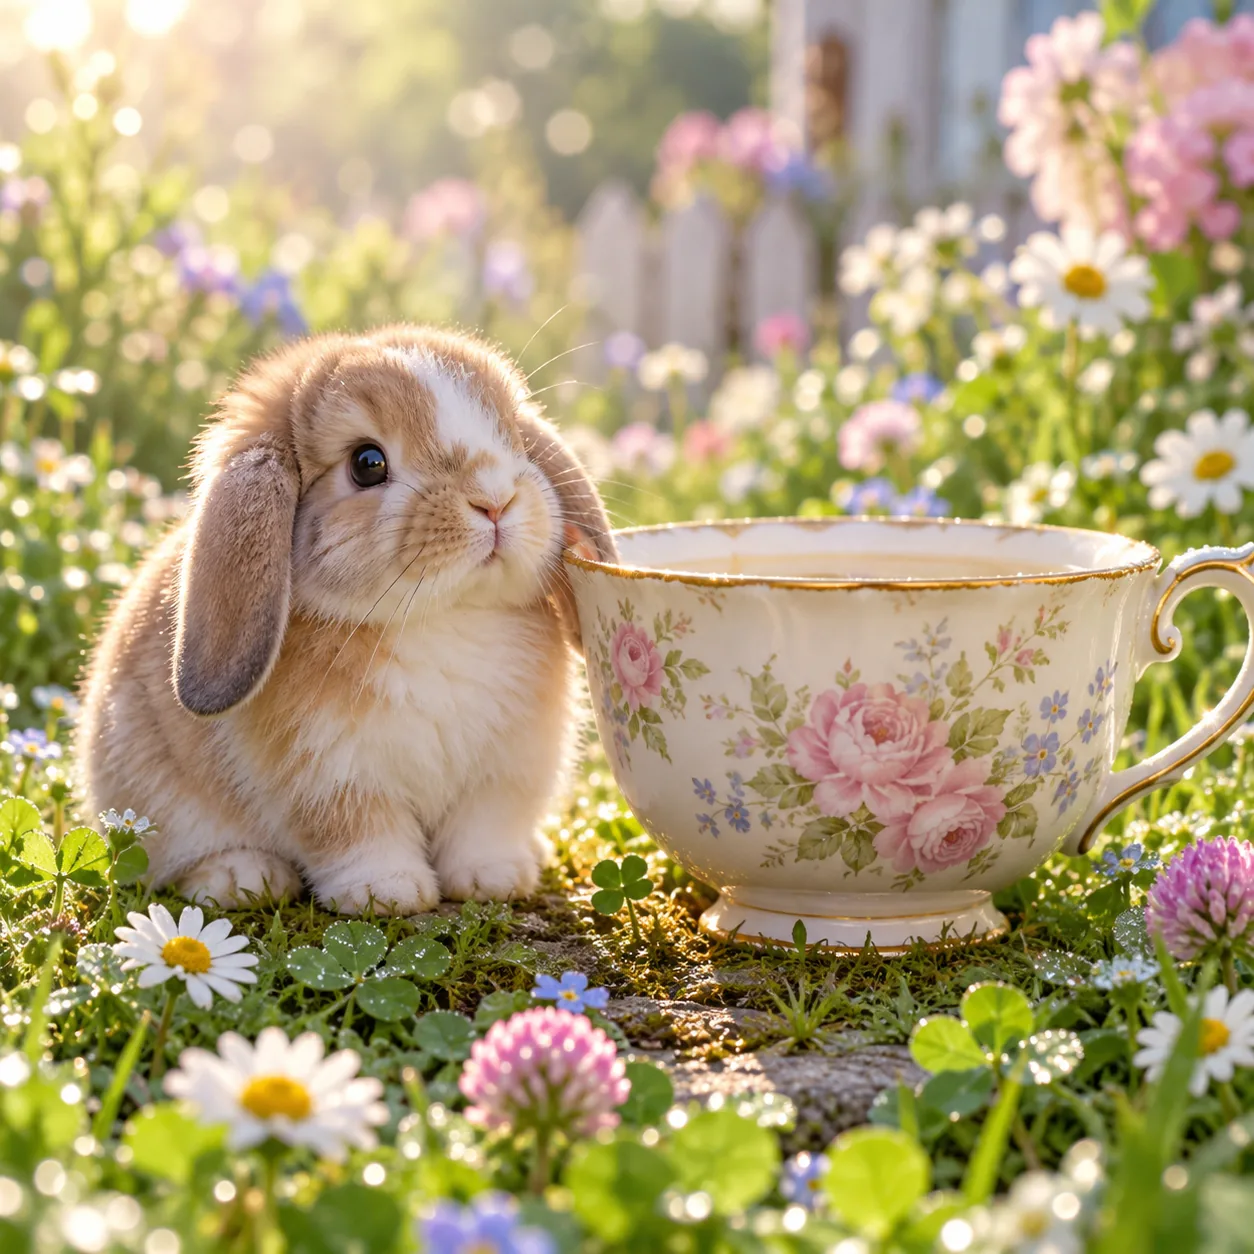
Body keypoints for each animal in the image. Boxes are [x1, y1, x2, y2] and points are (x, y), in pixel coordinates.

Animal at [76, 326, 616, 914]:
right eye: (367, 463)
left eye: (514, 436)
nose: (495, 500)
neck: (442, 617)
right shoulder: (332, 777)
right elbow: (360, 835)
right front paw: (389, 893)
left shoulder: (505, 770)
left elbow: (486, 828)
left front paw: (494, 879)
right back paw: (241, 878)